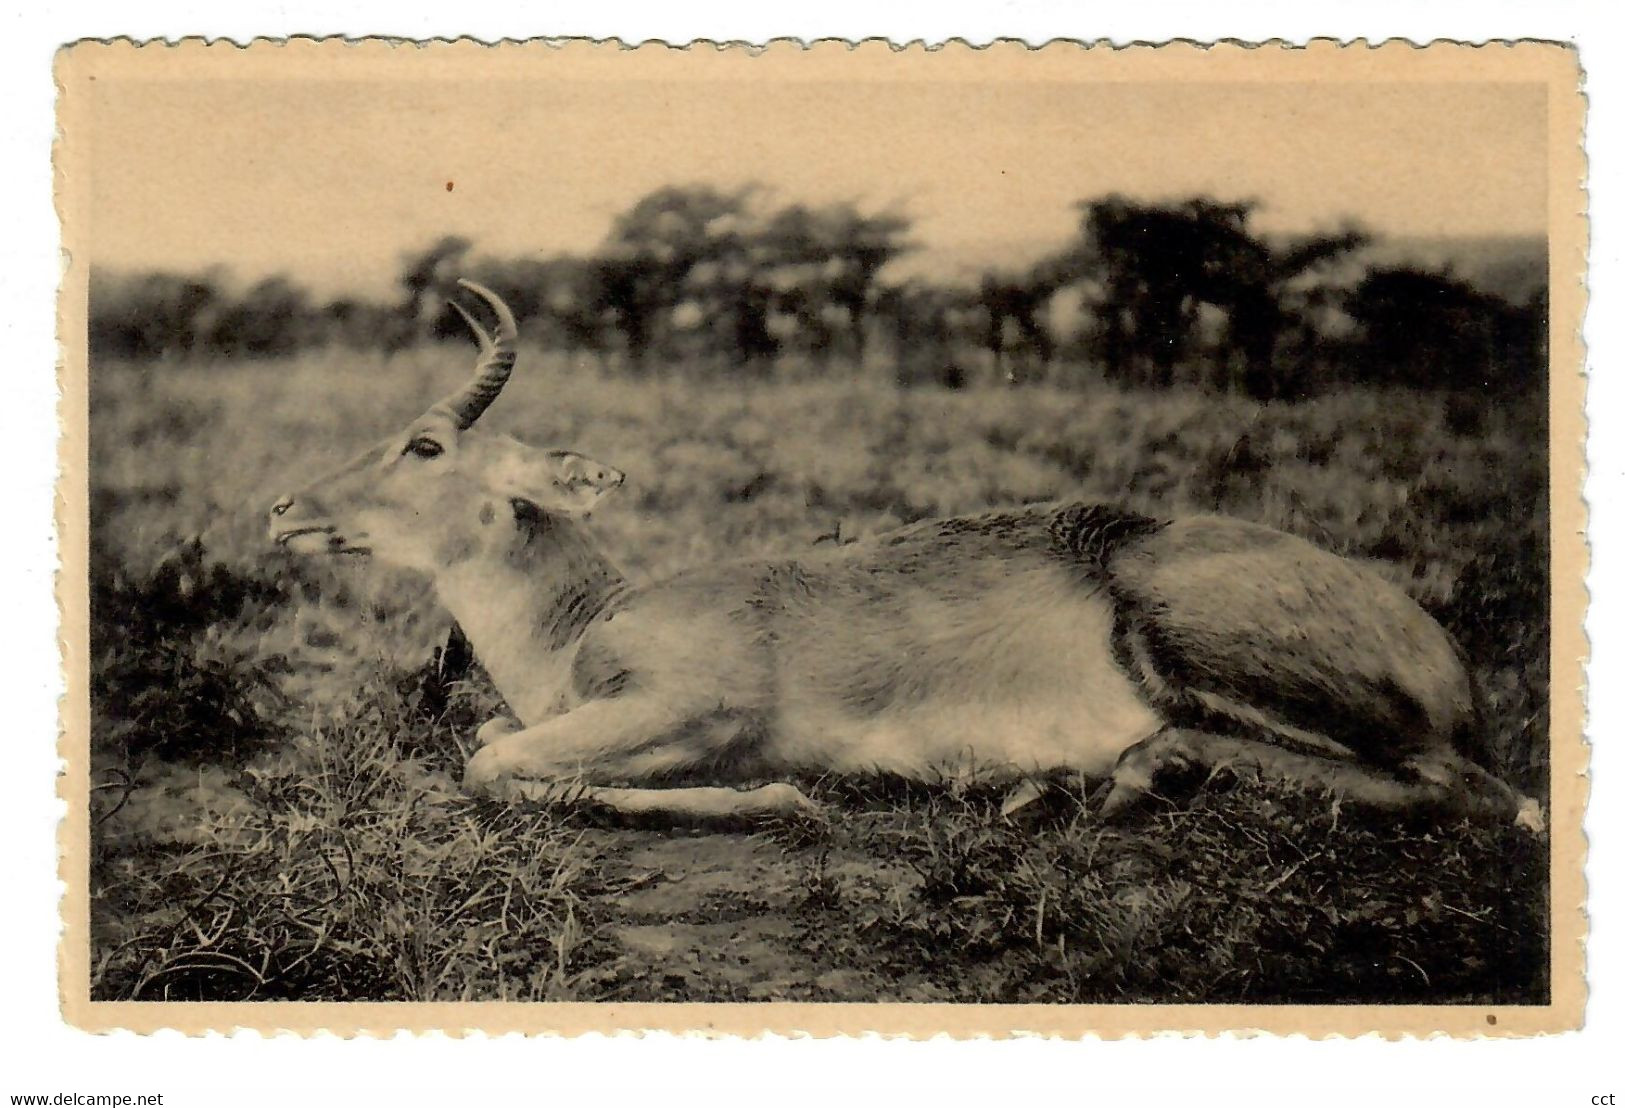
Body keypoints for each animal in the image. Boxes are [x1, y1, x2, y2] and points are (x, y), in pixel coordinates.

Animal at [273, 281, 1540, 825]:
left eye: (424, 442)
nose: (284, 506)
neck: (587, 625)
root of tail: (1444, 658)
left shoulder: (690, 704)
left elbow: (489, 761)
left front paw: (781, 795)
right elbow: (493, 747)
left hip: (1208, 647)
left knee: (1483, 794)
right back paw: (1058, 782)